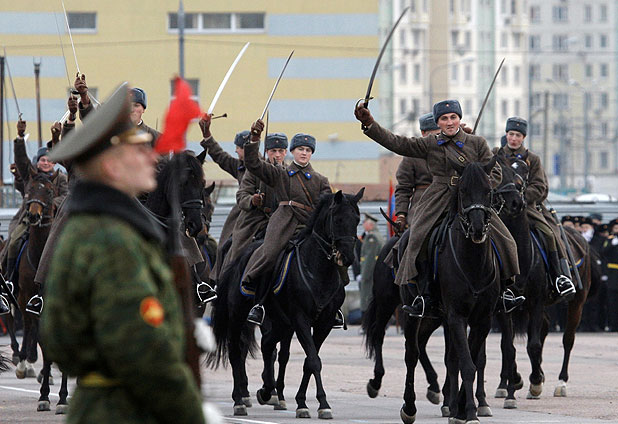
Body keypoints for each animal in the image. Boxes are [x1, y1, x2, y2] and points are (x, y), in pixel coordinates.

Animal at [209, 189, 363, 419]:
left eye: (357, 219)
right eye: (338, 219)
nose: (348, 257)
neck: (319, 271)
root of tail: (239, 256)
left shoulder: (324, 323)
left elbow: (309, 361)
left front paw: (304, 402)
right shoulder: (300, 319)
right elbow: (313, 360)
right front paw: (321, 403)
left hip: (281, 321)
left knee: (268, 346)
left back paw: (266, 391)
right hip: (239, 315)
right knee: (237, 350)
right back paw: (239, 400)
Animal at [399, 158, 500, 424]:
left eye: (489, 191)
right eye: (463, 190)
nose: (477, 228)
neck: (473, 263)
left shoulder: (482, 319)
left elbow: (470, 360)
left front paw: (464, 408)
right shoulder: (456, 316)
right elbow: (467, 364)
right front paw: (469, 411)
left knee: (450, 358)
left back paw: (451, 404)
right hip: (413, 312)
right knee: (412, 354)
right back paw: (409, 407)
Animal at [493, 153, 596, 402]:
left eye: (522, 174)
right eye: (497, 174)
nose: (515, 202)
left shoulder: (537, 301)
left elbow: (532, 344)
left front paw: (534, 382)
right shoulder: (504, 306)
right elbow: (507, 346)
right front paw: (515, 380)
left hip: (576, 302)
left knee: (567, 339)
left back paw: (560, 382)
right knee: (544, 330)